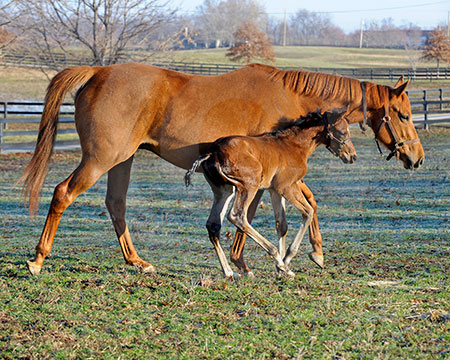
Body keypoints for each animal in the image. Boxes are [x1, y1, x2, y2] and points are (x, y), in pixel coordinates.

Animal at [185, 109, 356, 278]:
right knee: (237, 216)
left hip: (224, 190)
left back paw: (229, 272)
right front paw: (285, 261)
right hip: (249, 186)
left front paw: (284, 267)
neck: (294, 145)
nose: (352, 156)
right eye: (342, 132)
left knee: (213, 225)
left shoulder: (275, 190)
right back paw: (274, 256)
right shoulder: (286, 187)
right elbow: (308, 211)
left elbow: (282, 224)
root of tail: (213, 152)